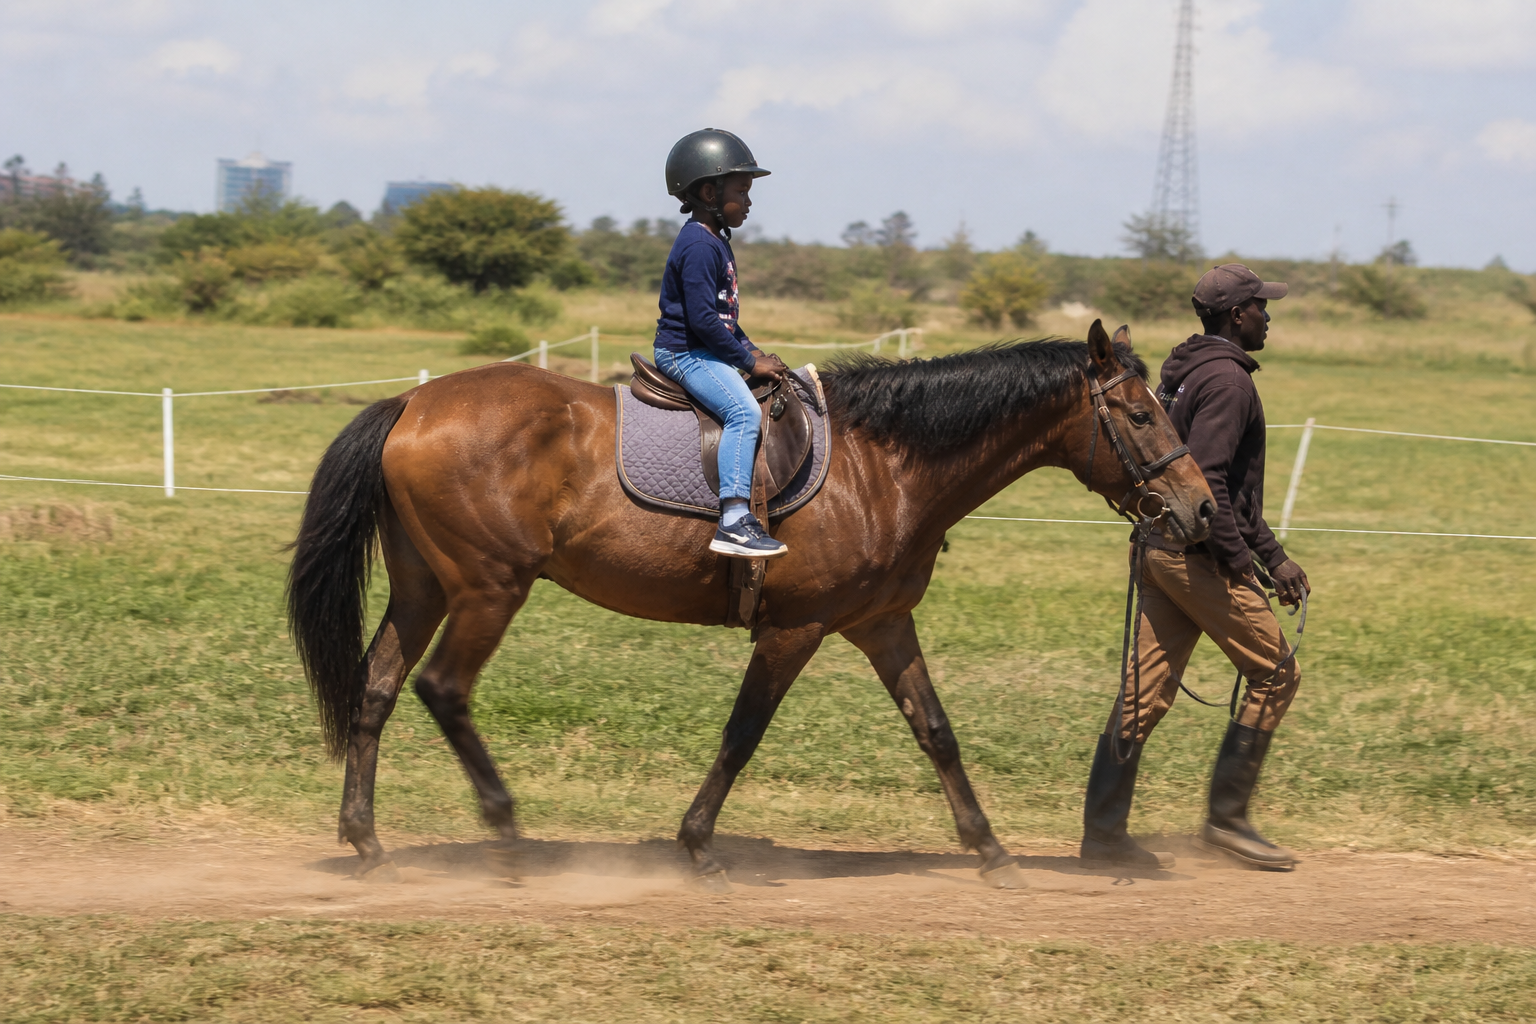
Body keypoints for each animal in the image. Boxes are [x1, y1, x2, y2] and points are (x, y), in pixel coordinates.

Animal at [287, 319, 1214, 889]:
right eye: (1140, 414)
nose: (1202, 512)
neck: (884, 466)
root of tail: (414, 400)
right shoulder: (794, 629)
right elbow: (743, 735)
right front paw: (696, 847)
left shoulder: (882, 624)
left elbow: (936, 732)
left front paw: (989, 849)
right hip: (488, 590)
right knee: (442, 689)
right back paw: (509, 835)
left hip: (424, 588)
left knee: (376, 687)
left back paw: (366, 838)